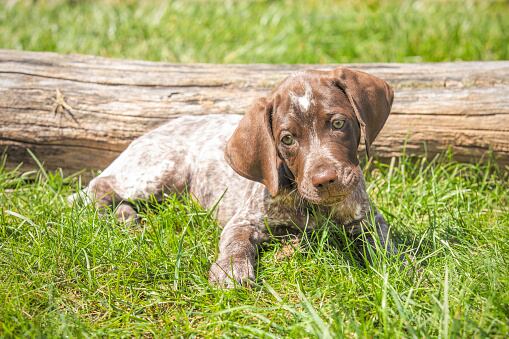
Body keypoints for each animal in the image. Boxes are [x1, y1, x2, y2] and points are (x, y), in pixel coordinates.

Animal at [70, 67, 396, 288]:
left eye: (338, 123)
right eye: (287, 139)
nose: (325, 180)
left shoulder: (367, 220)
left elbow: (385, 245)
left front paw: (395, 267)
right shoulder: (245, 220)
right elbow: (236, 244)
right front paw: (231, 271)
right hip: (161, 170)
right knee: (95, 188)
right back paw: (121, 217)